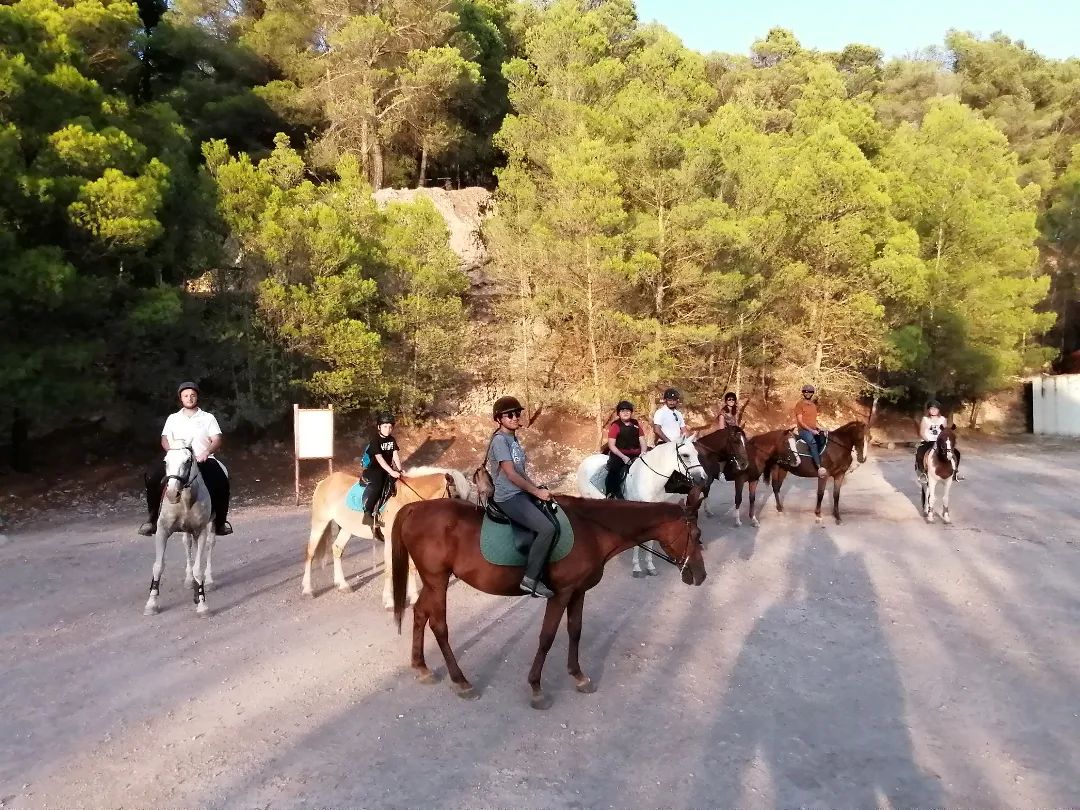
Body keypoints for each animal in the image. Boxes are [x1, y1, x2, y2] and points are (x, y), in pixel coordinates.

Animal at [144, 445, 215, 616]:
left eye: (187, 461)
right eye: (166, 461)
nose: (171, 493)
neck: (185, 501)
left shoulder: (201, 532)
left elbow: (198, 569)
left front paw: (202, 604)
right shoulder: (162, 531)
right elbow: (158, 566)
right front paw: (151, 603)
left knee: (209, 545)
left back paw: (209, 581)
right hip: (188, 531)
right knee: (188, 545)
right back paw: (190, 581)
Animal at [301, 467, 472, 608]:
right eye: (456, 496)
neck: (406, 499)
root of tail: (325, 481)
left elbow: (412, 567)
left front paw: (414, 597)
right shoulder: (391, 540)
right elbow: (389, 568)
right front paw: (389, 601)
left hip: (347, 528)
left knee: (337, 549)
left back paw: (342, 584)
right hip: (320, 522)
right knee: (310, 553)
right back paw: (308, 589)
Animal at [390, 489, 707, 708]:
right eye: (696, 534)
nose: (701, 575)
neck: (593, 530)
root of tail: (415, 508)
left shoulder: (578, 591)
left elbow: (575, 631)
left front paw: (578, 675)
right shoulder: (561, 593)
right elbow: (547, 636)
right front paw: (536, 688)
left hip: (432, 582)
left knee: (420, 613)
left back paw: (421, 667)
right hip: (437, 580)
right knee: (439, 626)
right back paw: (461, 681)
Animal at [575, 437, 709, 577]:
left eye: (697, 454)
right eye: (685, 455)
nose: (703, 478)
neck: (649, 479)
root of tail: (586, 461)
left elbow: (650, 542)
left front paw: (650, 566)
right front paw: (636, 567)